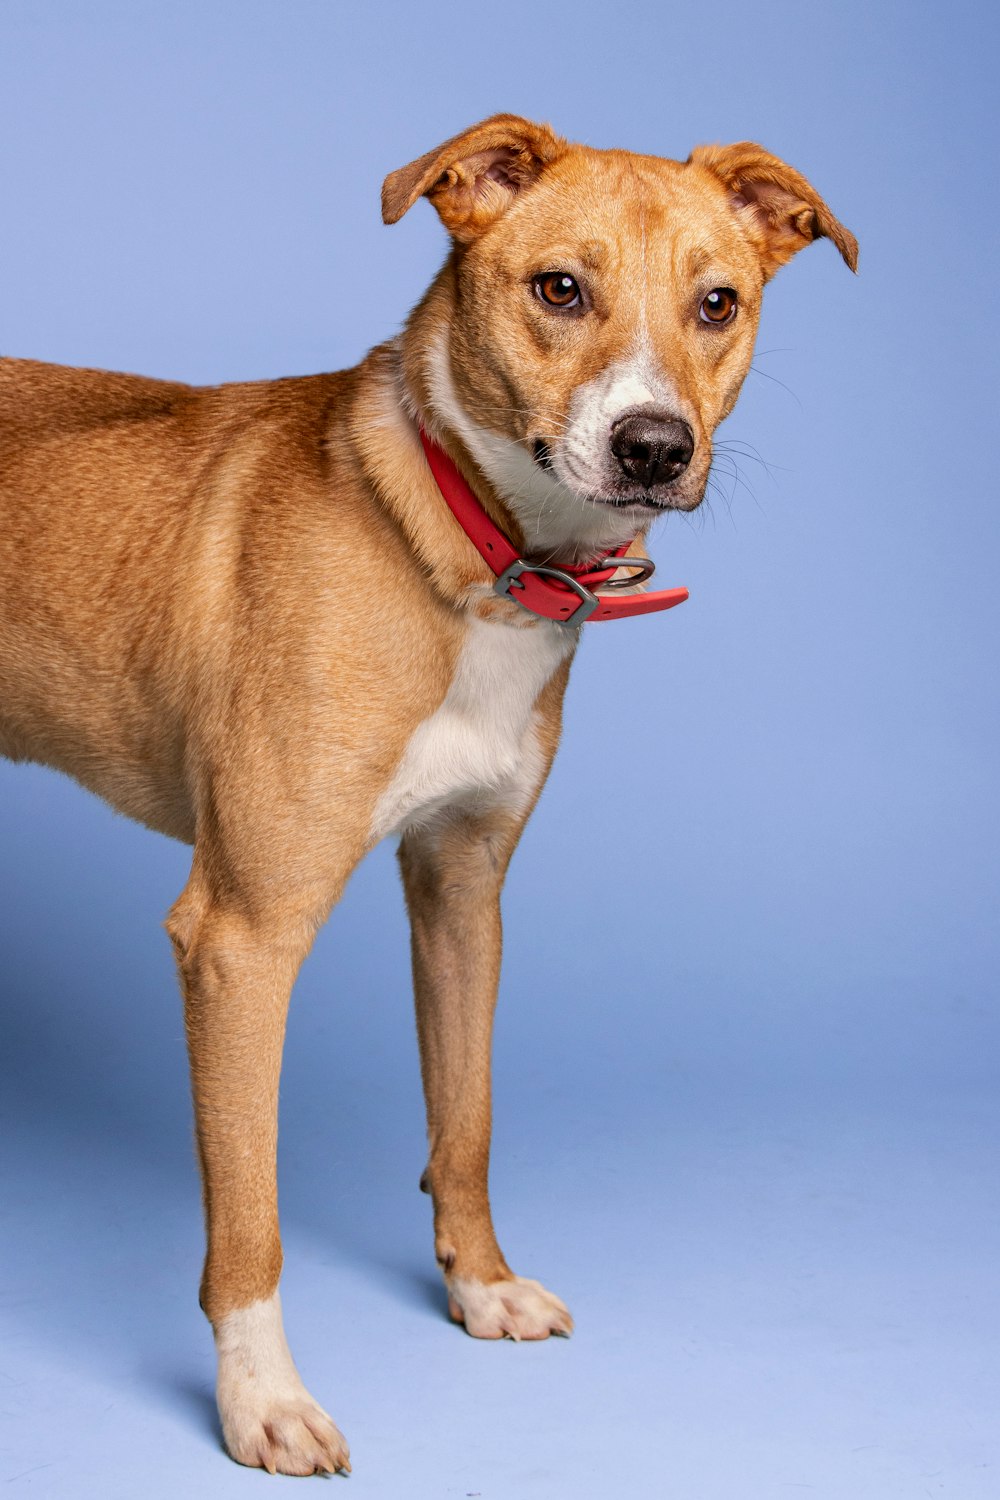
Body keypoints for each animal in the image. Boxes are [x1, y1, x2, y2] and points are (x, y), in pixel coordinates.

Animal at [0, 117, 863, 1476]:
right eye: (558, 289)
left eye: (716, 303)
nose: (654, 447)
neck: (477, 555)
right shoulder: (240, 937)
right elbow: (250, 1211)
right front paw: (261, 1399)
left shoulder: (462, 889)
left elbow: (466, 1120)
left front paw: (480, 1285)